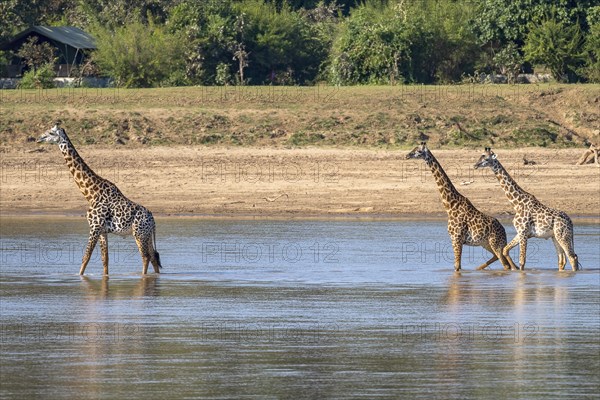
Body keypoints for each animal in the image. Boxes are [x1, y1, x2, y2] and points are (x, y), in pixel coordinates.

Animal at [36, 125, 161, 276]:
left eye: (50, 133)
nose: (39, 138)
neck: (91, 193)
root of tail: (153, 221)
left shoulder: (94, 227)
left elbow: (86, 257)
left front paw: (79, 276)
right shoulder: (102, 231)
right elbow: (105, 260)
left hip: (139, 234)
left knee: (145, 257)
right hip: (146, 235)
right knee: (154, 257)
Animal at [406, 142, 516, 270]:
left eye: (418, 151)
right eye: (413, 148)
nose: (407, 155)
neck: (450, 205)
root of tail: (503, 231)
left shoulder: (457, 239)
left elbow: (457, 266)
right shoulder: (456, 239)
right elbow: (457, 266)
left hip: (495, 243)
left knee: (505, 264)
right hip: (486, 243)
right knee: (500, 259)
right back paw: (478, 268)